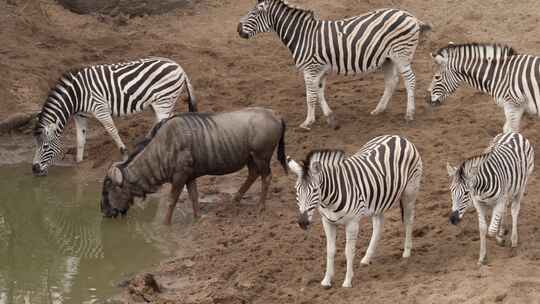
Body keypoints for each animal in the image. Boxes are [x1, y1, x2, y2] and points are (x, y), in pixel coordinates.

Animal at [31, 57, 197, 176]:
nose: (34, 169)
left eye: (45, 146)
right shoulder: (80, 116)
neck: (76, 96)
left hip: (164, 101)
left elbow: (112, 130)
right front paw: (78, 162)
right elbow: (80, 139)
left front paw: (124, 154)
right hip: (160, 103)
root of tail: (179, 67)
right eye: (36, 145)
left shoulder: (100, 108)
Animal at [238, 0, 432, 129]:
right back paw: (379, 109)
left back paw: (409, 114)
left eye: (254, 13)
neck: (302, 36)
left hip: (401, 55)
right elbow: (319, 92)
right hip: (388, 59)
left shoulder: (310, 69)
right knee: (391, 82)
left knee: (410, 80)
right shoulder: (319, 70)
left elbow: (310, 96)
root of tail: (411, 16)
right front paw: (329, 117)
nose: (238, 30)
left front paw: (307, 122)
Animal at [286, 135, 422, 288]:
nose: (302, 222)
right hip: (379, 198)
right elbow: (330, 250)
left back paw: (406, 252)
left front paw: (347, 281)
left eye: (315, 190)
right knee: (378, 225)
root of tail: (398, 137)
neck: (329, 200)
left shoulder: (352, 223)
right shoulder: (327, 222)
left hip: (410, 191)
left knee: (409, 220)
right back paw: (367, 258)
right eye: (296, 190)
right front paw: (326, 280)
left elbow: (348, 251)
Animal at [446, 132, 532, 264]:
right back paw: (503, 229)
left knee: (514, 210)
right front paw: (482, 257)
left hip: (522, 185)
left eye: (466, 193)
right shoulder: (478, 203)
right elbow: (483, 228)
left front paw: (500, 239)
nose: (453, 219)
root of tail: (513, 133)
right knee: (504, 210)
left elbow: (491, 230)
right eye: (451, 190)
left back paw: (513, 239)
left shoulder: (499, 200)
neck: (481, 188)